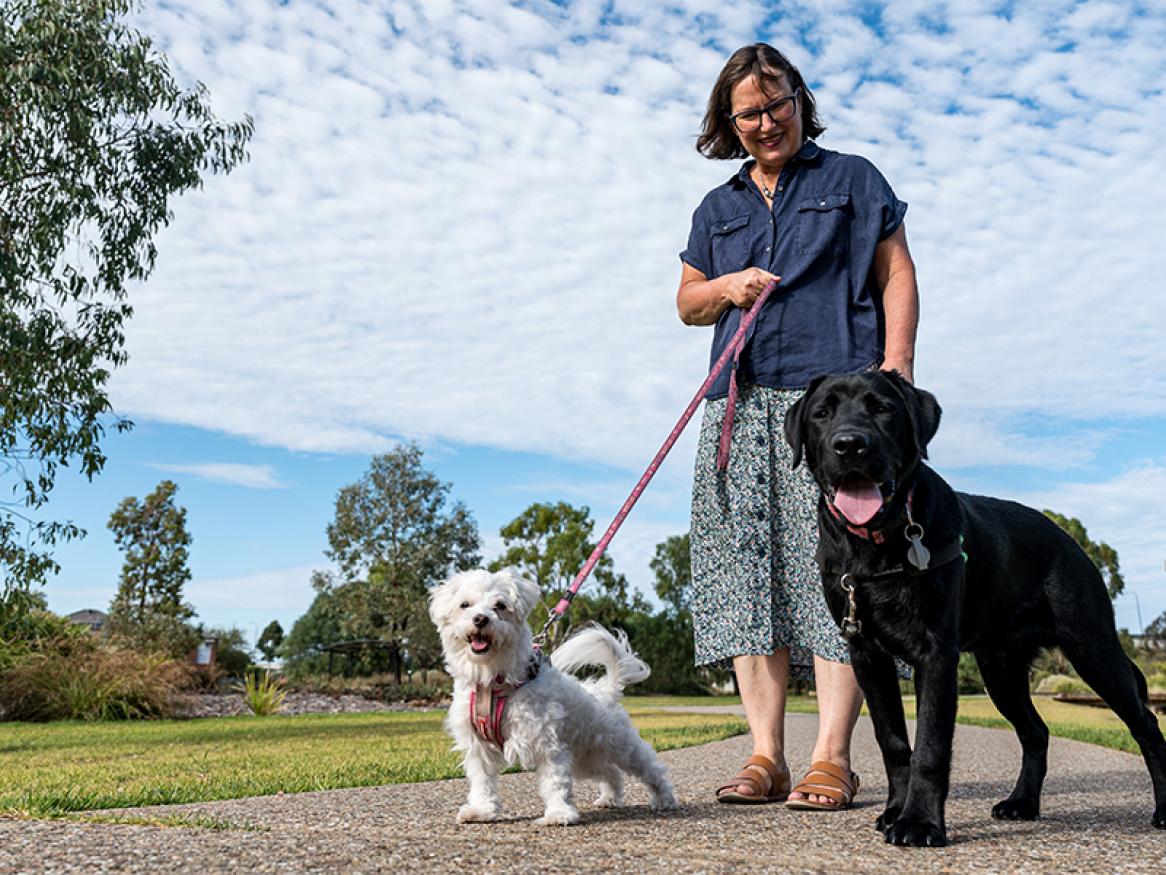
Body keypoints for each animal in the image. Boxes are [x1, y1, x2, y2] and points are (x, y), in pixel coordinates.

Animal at [433, 571, 680, 826]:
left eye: (500, 606)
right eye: (464, 605)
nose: (480, 619)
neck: (493, 683)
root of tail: (605, 690)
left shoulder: (546, 741)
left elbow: (555, 781)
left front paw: (559, 813)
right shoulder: (479, 746)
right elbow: (482, 781)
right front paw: (482, 810)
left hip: (622, 746)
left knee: (650, 767)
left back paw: (664, 798)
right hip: (586, 757)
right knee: (611, 772)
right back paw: (610, 798)